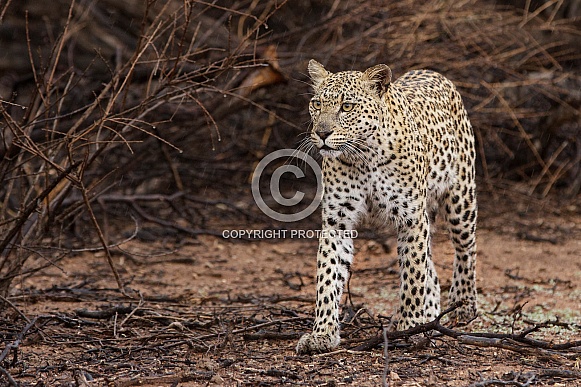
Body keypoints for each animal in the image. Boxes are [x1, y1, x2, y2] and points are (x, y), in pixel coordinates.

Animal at [296, 59, 478, 354]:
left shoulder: (411, 218)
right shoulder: (337, 221)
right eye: (317, 103)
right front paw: (322, 334)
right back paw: (430, 315)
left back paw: (463, 305)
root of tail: (431, 71)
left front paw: (409, 326)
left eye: (347, 106)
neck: (364, 156)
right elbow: (327, 277)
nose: (322, 133)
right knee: (431, 267)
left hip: (461, 198)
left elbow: (413, 275)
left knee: (465, 250)